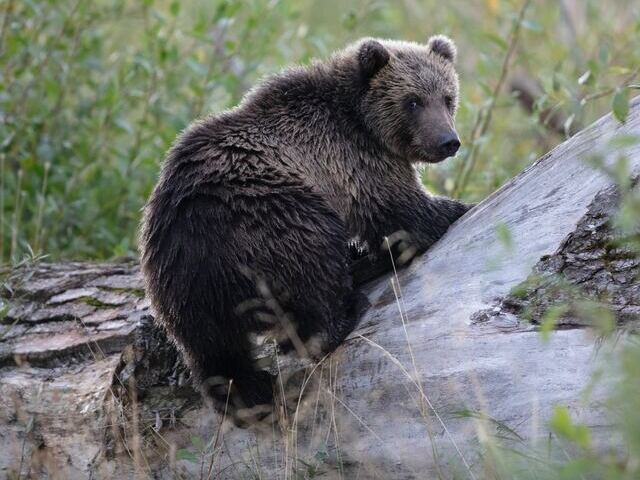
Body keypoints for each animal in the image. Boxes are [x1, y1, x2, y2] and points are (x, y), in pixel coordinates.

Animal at [139, 34, 470, 424]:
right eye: (413, 101)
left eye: (447, 97)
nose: (448, 141)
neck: (361, 119)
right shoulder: (353, 159)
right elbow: (401, 213)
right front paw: (455, 207)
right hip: (274, 214)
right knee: (313, 268)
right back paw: (345, 309)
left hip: (180, 285)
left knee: (215, 349)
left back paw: (250, 394)